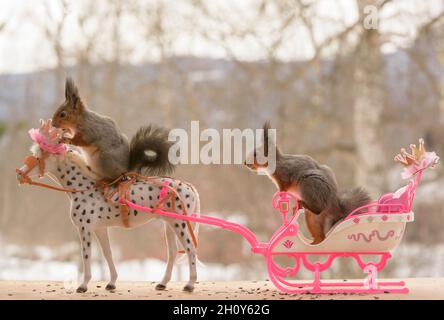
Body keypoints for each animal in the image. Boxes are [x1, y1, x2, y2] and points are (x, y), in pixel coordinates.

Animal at [15, 122, 199, 292]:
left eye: (37, 157)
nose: (19, 174)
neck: (85, 188)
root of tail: (190, 188)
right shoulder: (100, 229)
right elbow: (107, 253)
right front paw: (111, 283)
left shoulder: (85, 229)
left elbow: (86, 255)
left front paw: (83, 285)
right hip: (169, 224)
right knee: (173, 252)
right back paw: (162, 283)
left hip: (180, 225)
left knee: (190, 249)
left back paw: (189, 285)